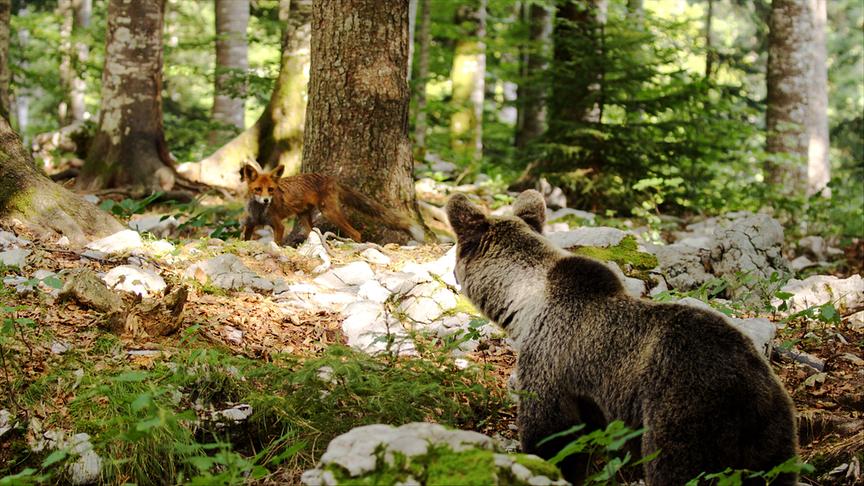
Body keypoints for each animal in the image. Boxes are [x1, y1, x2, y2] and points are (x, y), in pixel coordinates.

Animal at [240, 163, 425, 245]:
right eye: (257, 189)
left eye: (271, 190)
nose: (266, 200)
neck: (259, 212)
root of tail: (331, 179)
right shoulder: (250, 224)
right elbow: (245, 238)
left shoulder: (278, 226)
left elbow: (277, 242)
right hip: (305, 217)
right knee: (313, 233)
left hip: (329, 213)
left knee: (356, 233)